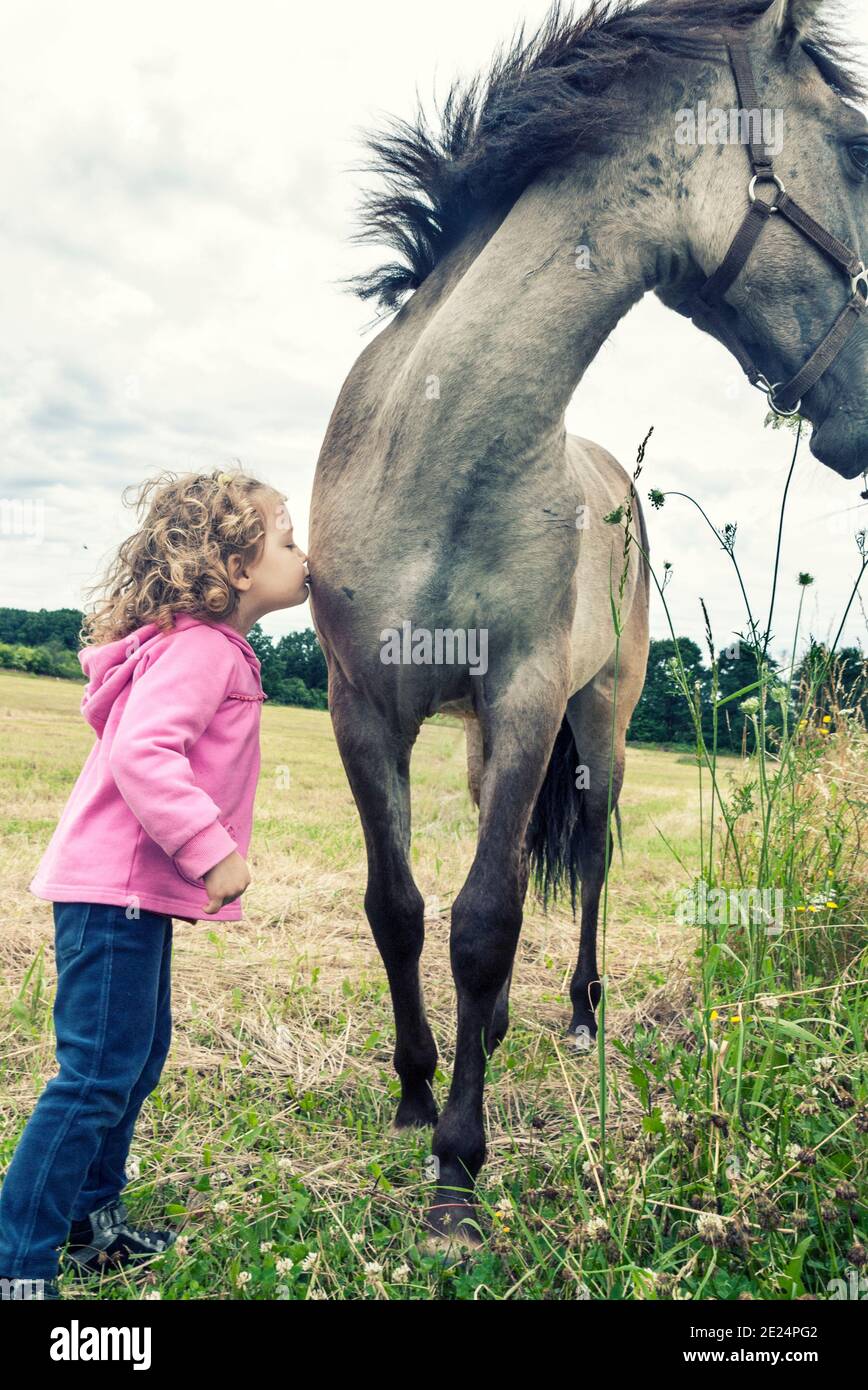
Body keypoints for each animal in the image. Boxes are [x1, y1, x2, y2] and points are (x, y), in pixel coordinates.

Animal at [304, 0, 862, 1239]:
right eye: (855, 151)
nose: (862, 418)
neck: (438, 452)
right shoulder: (363, 709)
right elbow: (398, 906)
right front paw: (415, 1093)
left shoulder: (522, 702)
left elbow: (484, 920)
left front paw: (459, 1173)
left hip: (596, 724)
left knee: (590, 857)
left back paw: (573, 1013)